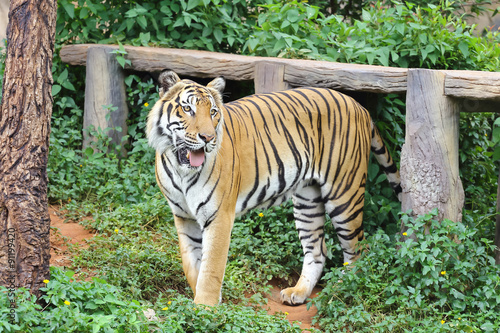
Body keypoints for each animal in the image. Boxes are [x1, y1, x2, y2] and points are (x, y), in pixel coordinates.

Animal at [146, 70, 402, 306]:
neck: (181, 170)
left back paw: (338, 293)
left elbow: (211, 270)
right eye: (187, 109)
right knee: (317, 250)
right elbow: (192, 265)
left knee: (358, 251)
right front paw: (197, 306)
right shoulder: (184, 217)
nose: (208, 138)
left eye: (213, 112)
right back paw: (298, 293)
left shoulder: (219, 217)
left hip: (344, 196)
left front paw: (205, 309)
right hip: (308, 200)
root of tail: (360, 107)